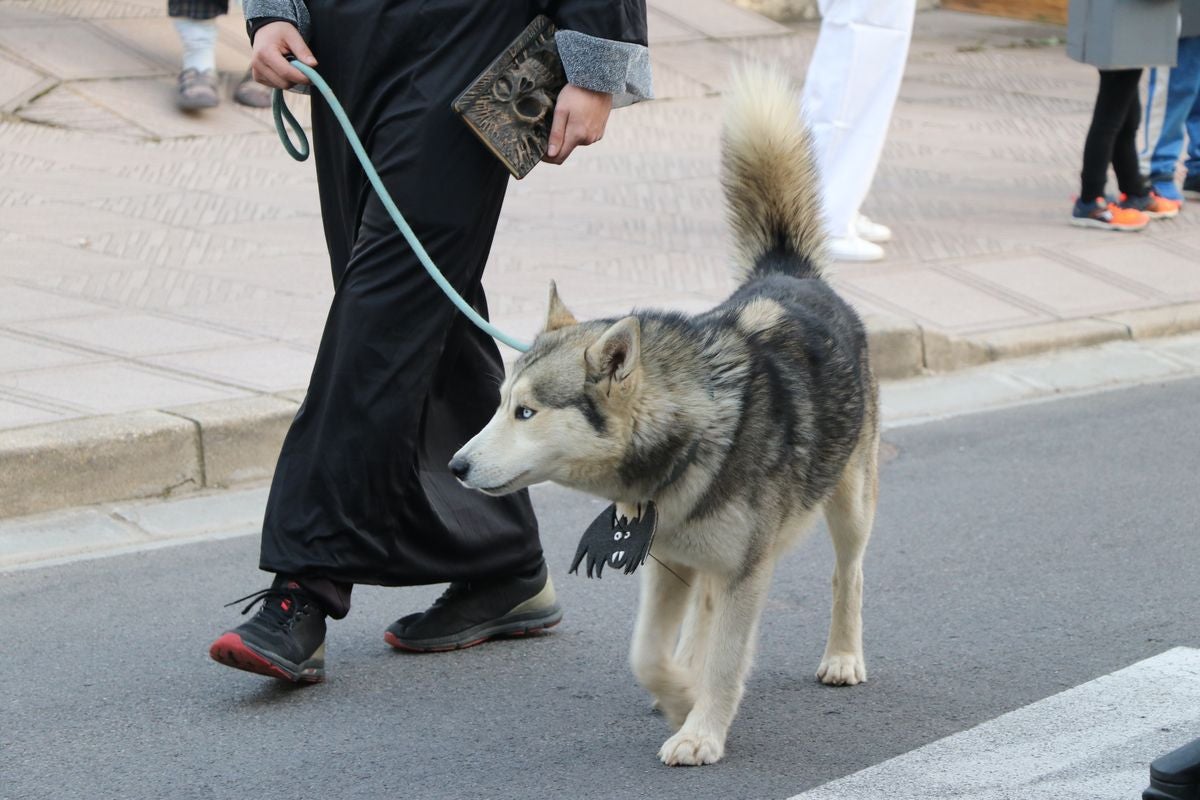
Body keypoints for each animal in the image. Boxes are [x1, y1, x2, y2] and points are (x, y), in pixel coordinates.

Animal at [451, 65, 883, 767]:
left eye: (526, 412)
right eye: (499, 406)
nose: (455, 466)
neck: (689, 435)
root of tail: (788, 271)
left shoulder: (745, 572)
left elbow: (727, 660)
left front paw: (702, 730)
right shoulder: (667, 565)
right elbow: (646, 655)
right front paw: (681, 695)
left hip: (850, 505)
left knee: (849, 575)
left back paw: (843, 656)